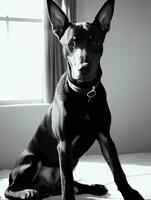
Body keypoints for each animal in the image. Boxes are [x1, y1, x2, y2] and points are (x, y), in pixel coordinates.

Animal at [4, 0, 144, 200]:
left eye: (94, 41)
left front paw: (130, 193)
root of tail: (45, 188)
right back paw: (26, 192)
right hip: (30, 160)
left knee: (68, 185)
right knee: (10, 188)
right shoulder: (64, 144)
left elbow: (118, 170)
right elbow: (67, 180)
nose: (83, 68)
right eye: (71, 43)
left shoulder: (105, 137)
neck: (84, 94)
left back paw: (93, 187)